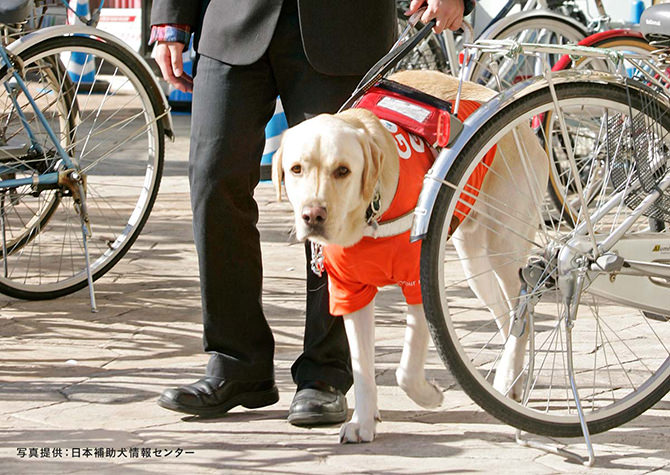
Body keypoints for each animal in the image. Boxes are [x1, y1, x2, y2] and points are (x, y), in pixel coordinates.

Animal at [272, 69, 552, 442]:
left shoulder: (421, 287)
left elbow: (406, 370)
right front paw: (363, 421)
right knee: (510, 318)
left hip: (503, 245)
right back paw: (515, 379)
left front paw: (429, 396)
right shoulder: (350, 292)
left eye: (343, 170)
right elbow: (362, 366)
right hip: (473, 259)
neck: (369, 216)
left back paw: (509, 378)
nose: (313, 216)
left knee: (525, 304)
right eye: (296, 169)